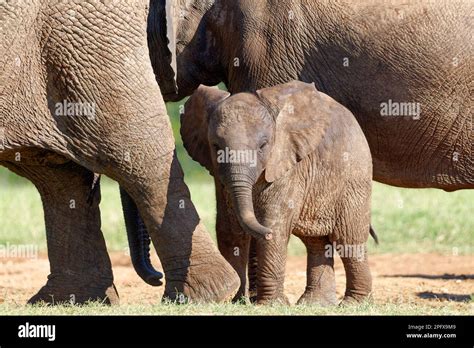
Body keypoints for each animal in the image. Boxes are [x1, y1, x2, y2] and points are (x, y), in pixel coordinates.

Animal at [182, 81, 374, 304]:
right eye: (215, 146)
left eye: (263, 145)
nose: (264, 233)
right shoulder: (219, 175)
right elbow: (229, 226)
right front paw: (236, 301)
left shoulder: (286, 162)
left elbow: (275, 221)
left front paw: (269, 304)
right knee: (316, 242)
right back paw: (314, 304)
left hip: (355, 178)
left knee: (348, 239)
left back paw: (354, 303)